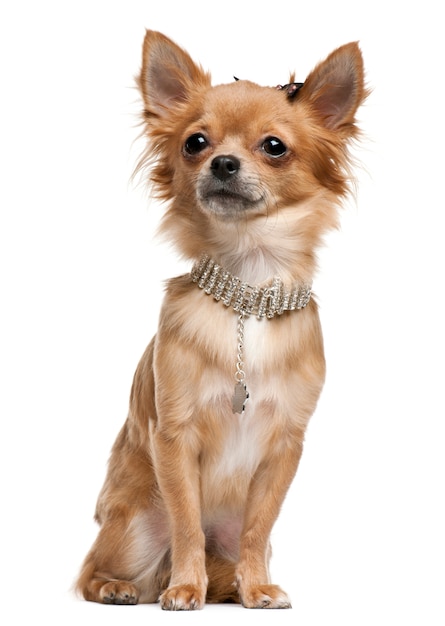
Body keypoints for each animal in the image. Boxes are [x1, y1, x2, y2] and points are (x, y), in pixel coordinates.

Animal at [76, 30, 368, 608]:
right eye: (195, 143)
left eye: (274, 146)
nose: (223, 163)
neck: (247, 296)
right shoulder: (173, 437)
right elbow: (188, 521)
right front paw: (186, 590)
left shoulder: (284, 446)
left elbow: (259, 525)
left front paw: (257, 589)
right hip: (137, 525)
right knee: (94, 568)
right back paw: (127, 586)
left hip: (225, 538)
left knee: (234, 555)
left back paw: (233, 585)